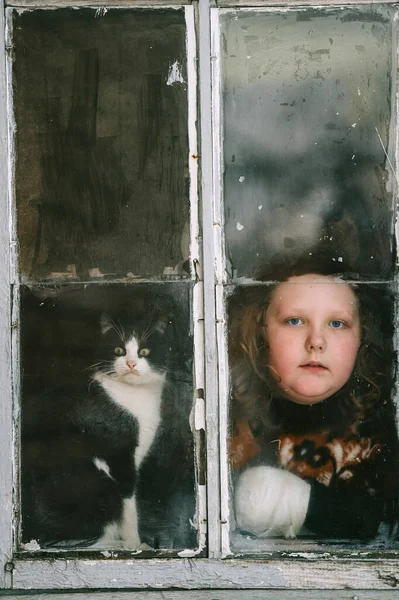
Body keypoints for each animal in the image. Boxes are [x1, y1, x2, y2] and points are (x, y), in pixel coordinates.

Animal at [21, 304, 177, 548]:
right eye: (118, 350)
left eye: (143, 352)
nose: (131, 364)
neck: (134, 398)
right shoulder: (119, 457)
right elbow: (129, 504)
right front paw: (134, 544)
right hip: (94, 484)